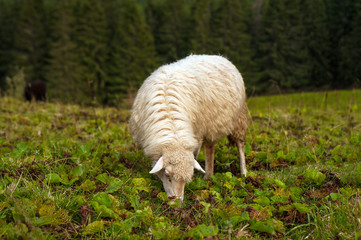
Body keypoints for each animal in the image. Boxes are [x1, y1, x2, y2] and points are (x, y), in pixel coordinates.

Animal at [129, 54, 248, 201]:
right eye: (167, 175)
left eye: (187, 178)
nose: (177, 203)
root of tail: (219, 56)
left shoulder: (196, 135)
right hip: (211, 125)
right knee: (210, 148)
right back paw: (208, 175)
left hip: (238, 118)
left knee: (239, 145)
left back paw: (242, 173)